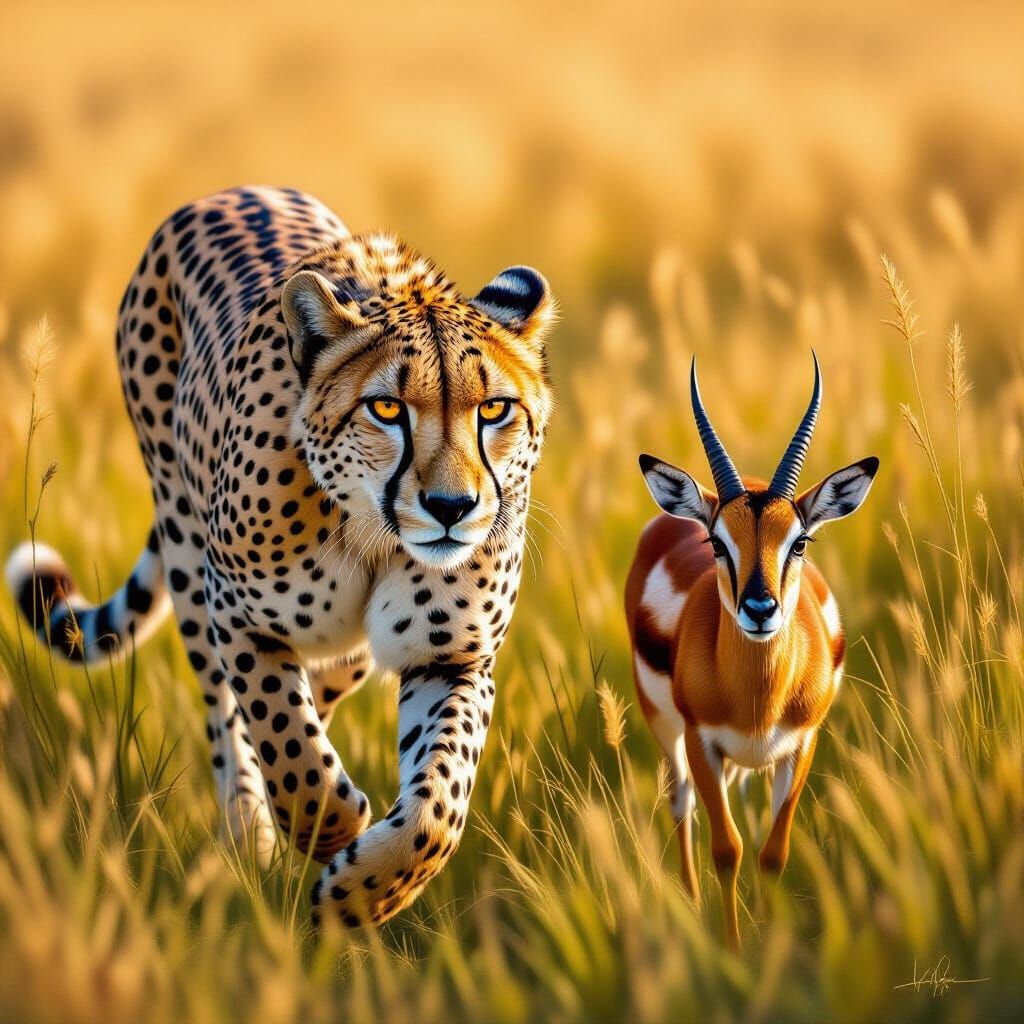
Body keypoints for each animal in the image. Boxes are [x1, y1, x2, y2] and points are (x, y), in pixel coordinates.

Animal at [5, 185, 555, 927]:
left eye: (494, 409)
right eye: (387, 408)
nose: (451, 506)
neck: (370, 529)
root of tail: (225, 192)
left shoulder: (451, 657)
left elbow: (436, 808)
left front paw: (362, 895)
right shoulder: (240, 617)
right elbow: (284, 741)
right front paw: (328, 828)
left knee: (326, 683)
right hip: (186, 554)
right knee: (227, 721)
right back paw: (249, 834)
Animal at [625, 354, 878, 948]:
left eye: (800, 542)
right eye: (718, 543)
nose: (760, 609)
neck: (757, 697)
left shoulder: (801, 744)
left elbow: (771, 853)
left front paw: (765, 947)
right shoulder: (702, 742)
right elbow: (727, 849)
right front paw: (735, 950)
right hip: (666, 731)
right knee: (682, 803)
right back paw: (691, 906)